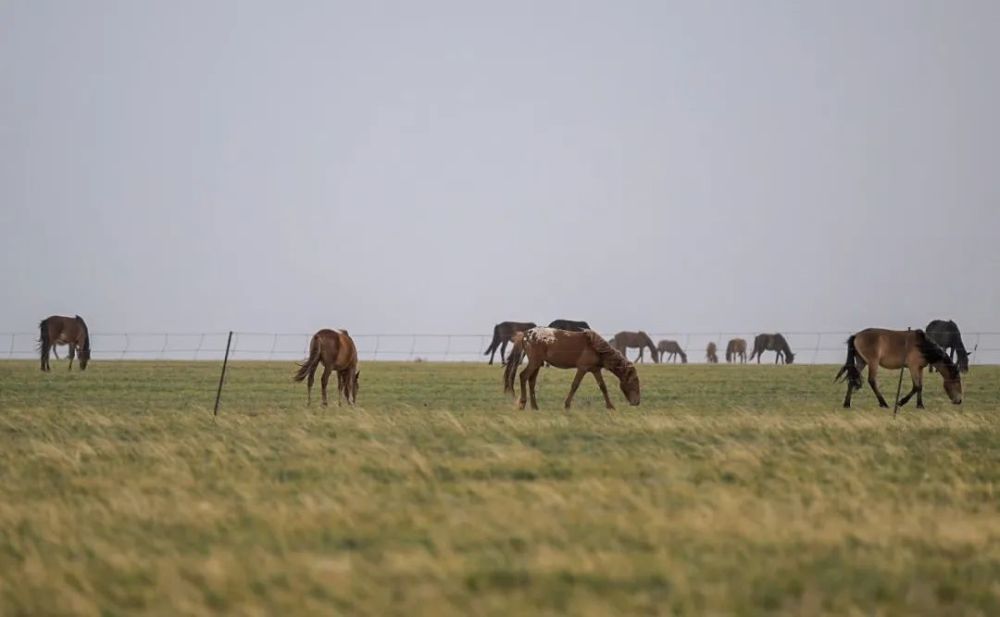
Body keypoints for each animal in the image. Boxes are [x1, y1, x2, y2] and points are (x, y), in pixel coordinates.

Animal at [503, 328, 640, 410]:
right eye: (633, 382)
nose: (637, 402)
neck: (596, 348)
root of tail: (526, 334)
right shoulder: (582, 369)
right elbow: (575, 385)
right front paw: (567, 405)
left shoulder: (595, 370)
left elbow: (603, 387)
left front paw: (610, 406)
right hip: (534, 362)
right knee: (523, 376)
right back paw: (522, 404)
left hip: (537, 364)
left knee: (531, 381)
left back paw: (535, 407)